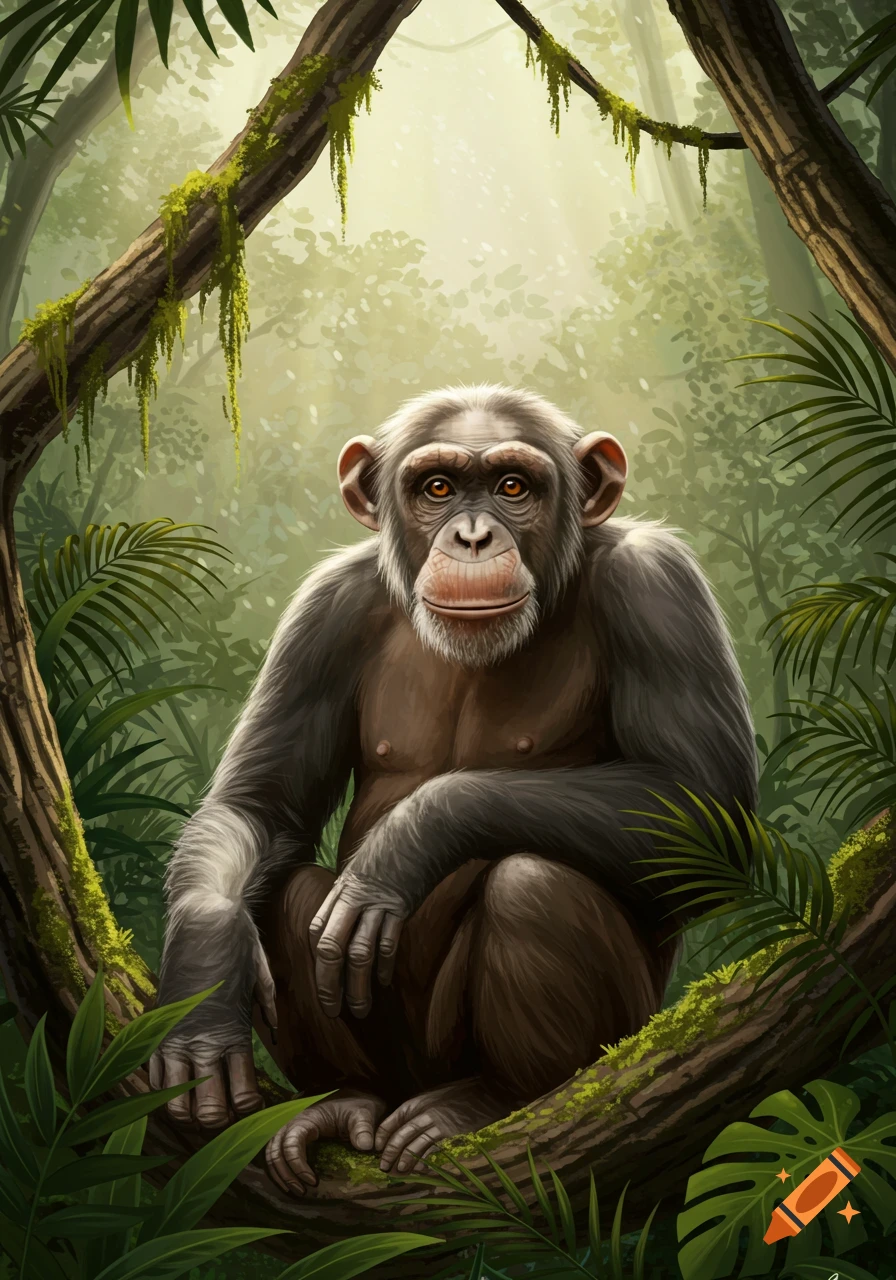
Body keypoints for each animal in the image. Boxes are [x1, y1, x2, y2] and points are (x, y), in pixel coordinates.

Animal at [150, 384, 757, 1194]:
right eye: (436, 488)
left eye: (513, 487)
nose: (472, 536)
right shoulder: (322, 612)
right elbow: (261, 806)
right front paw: (204, 984)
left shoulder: (659, 588)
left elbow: (704, 807)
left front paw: (408, 843)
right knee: (291, 894)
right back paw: (346, 1102)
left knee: (532, 884)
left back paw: (488, 1100)